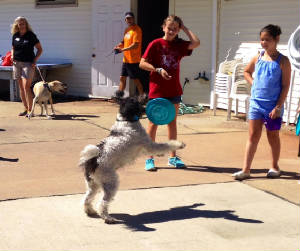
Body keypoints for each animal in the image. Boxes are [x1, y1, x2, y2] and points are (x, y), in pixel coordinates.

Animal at [78, 90, 185, 224]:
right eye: (135, 99)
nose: (146, 93)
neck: (126, 119)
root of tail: (93, 160)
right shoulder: (149, 145)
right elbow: (165, 145)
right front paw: (179, 144)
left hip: (93, 184)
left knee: (87, 198)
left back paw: (90, 211)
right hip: (110, 182)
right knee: (103, 203)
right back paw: (108, 218)